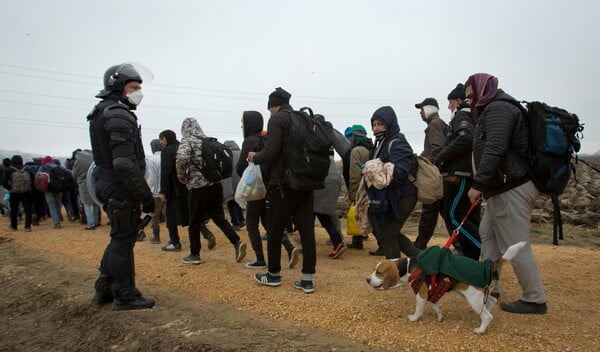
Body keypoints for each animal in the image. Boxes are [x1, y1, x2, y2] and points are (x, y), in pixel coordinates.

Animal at [366, 241, 524, 334]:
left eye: (379, 272)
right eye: (374, 270)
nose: (367, 280)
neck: (410, 267)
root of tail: (488, 266)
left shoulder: (421, 294)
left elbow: (419, 309)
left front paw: (414, 318)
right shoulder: (433, 292)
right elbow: (435, 305)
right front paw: (440, 316)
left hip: (473, 298)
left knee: (488, 316)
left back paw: (480, 329)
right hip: (480, 296)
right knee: (491, 301)